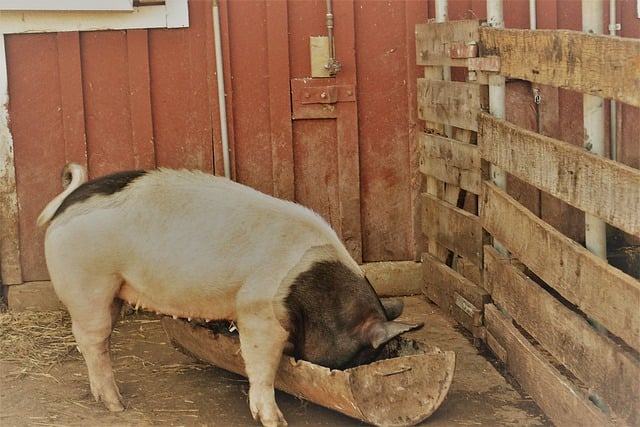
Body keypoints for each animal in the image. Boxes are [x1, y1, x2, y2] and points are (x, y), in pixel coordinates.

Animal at [37, 163, 420, 427]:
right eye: (365, 353)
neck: (314, 287)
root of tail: (65, 204)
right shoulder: (259, 311)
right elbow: (260, 364)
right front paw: (276, 421)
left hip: (111, 290)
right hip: (88, 283)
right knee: (93, 342)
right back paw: (117, 405)